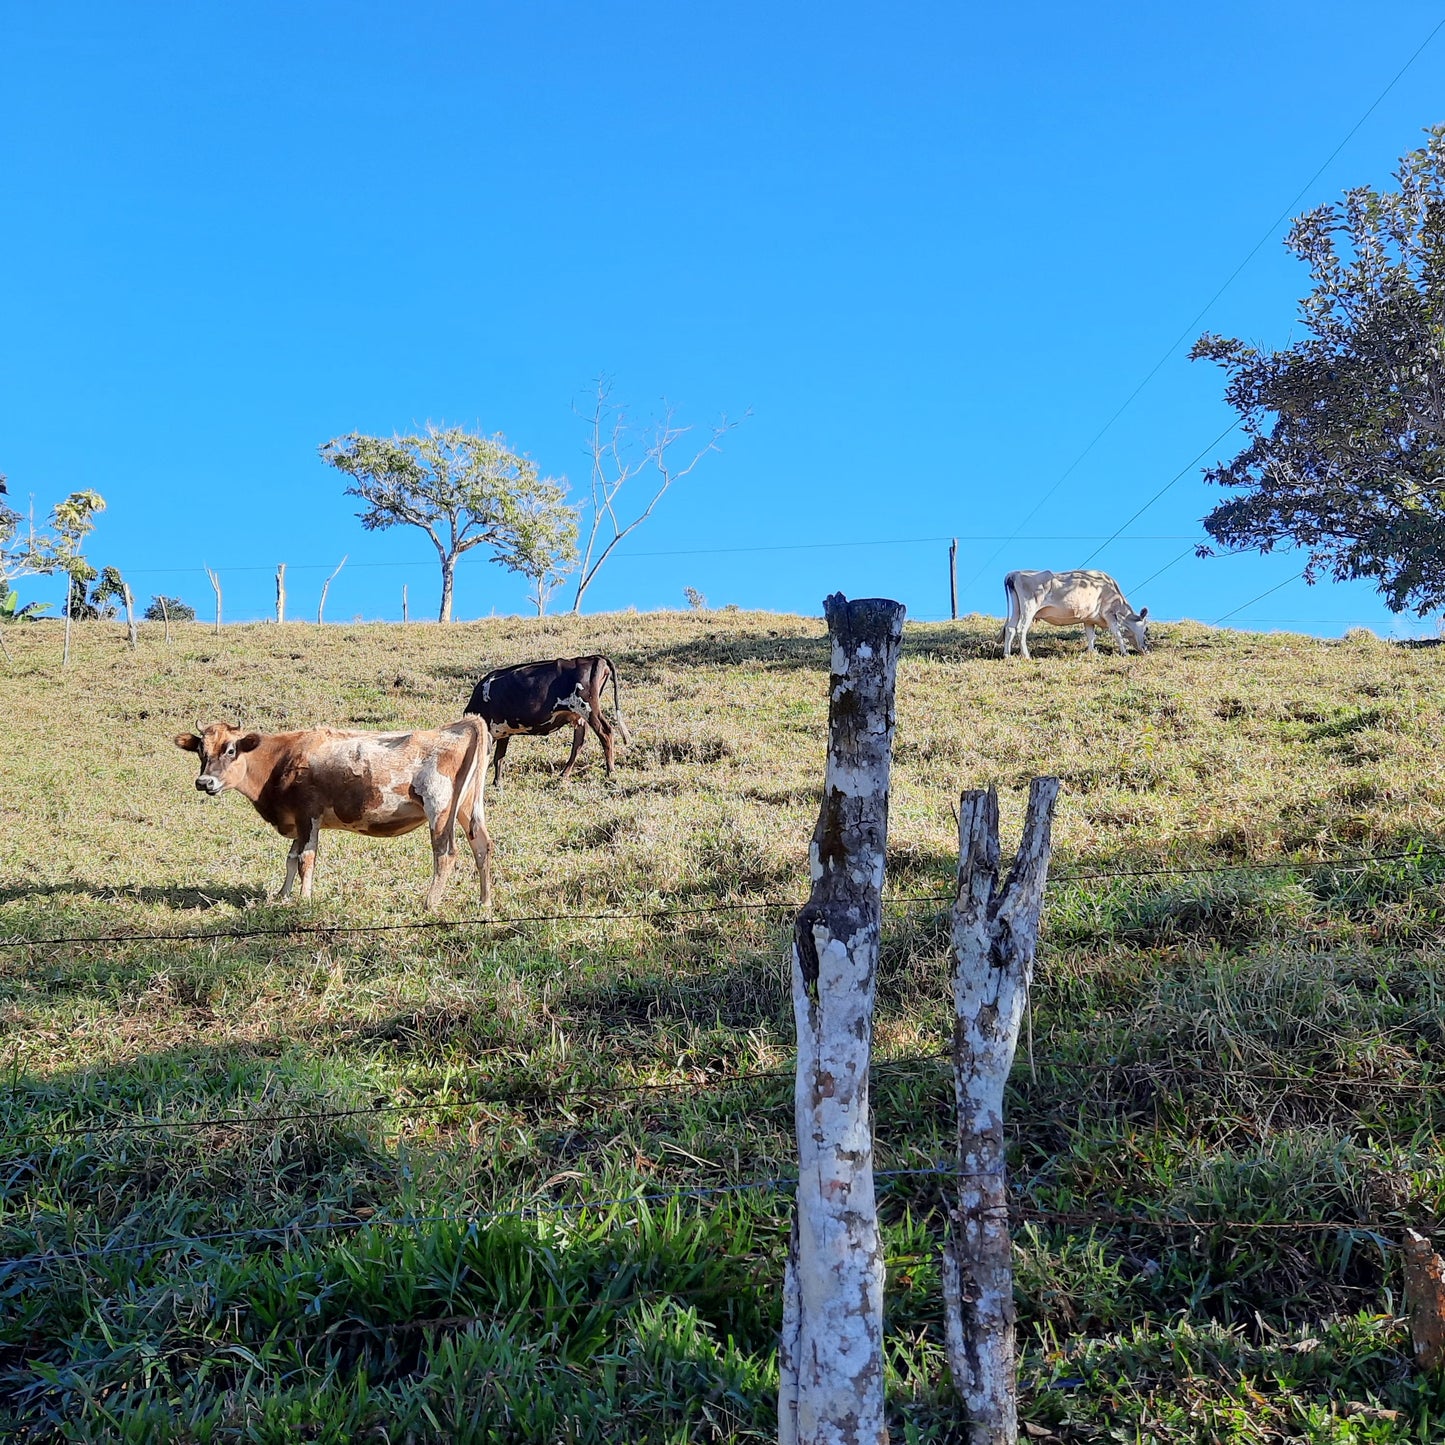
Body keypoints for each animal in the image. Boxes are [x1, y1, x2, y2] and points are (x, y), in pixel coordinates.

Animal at [172, 716, 491, 907]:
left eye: (230, 750)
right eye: (200, 750)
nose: (204, 782)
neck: (282, 758)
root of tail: (462, 724)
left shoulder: (307, 815)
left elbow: (305, 859)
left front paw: (304, 899)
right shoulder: (297, 819)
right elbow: (290, 859)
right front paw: (282, 895)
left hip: (440, 808)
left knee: (445, 853)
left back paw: (430, 903)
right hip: (467, 809)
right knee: (481, 846)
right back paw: (484, 901)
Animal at [1005, 569, 1150, 661]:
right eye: (1145, 629)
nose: (1145, 648)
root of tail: (1015, 573)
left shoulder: (1089, 618)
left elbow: (1091, 636)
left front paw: (1091, 653)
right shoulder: (1108, 613)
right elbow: (1117, 633)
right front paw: (1125, 653)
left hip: (1017, 609)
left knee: (1010, 628)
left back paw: (1007, 655)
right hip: (1030, 606)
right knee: (1021, 629)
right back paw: (1026, 656)